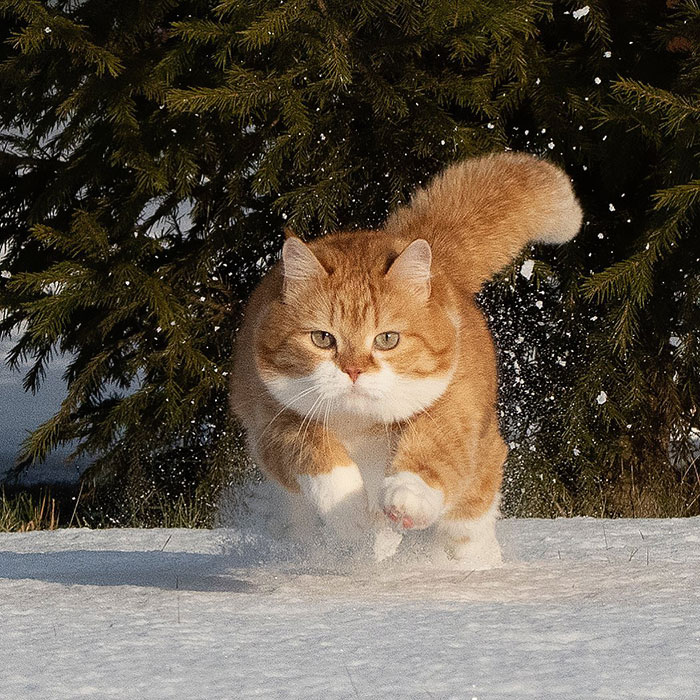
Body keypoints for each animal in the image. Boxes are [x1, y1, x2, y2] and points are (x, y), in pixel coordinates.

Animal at [230, 153, 580, 568]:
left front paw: (406, 499)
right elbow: (319, 456)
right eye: (322, 338)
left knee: (470, 514)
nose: (354, 370)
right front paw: (354, 520)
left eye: (387, 339)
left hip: (481, 447)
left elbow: (435, 449)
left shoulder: (453, 407)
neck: (361, 425)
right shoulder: (273, 423)